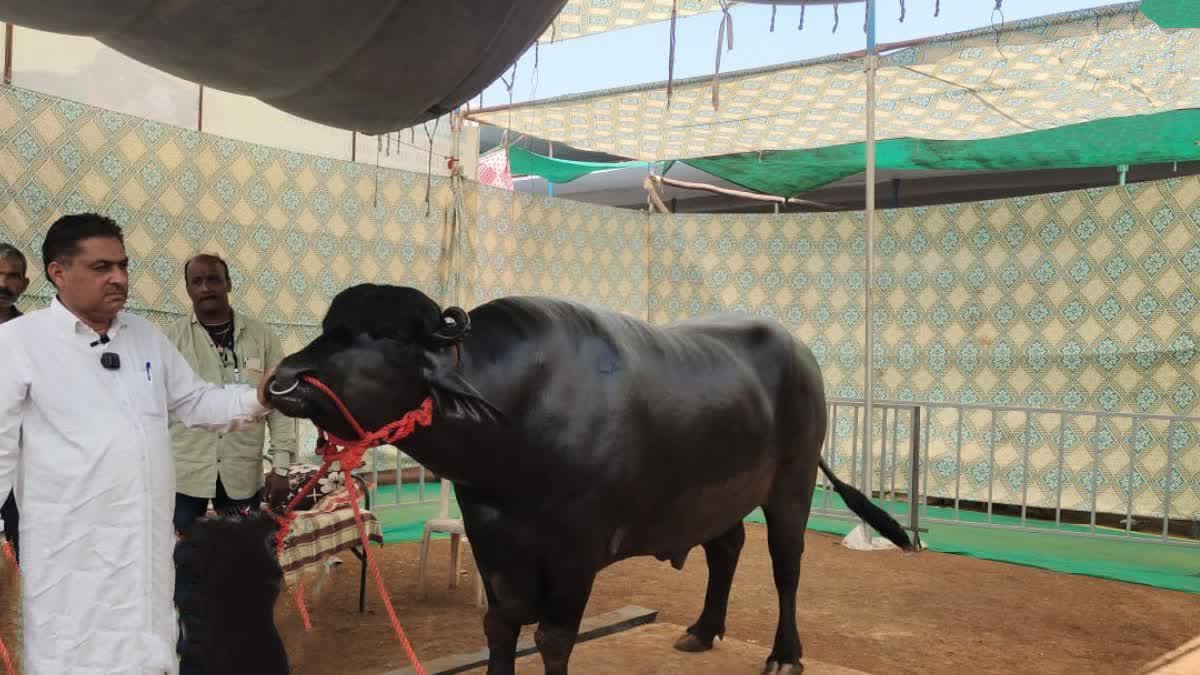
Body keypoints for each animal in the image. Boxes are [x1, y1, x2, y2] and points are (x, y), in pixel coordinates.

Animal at [270, 283, 907, 672]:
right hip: (715, 496)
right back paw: (702, 630)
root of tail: (802, 355)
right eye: (329, 325)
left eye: (388, 337)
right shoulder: (492, 543)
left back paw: (784, 653)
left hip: (792, 485)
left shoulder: (575, 552)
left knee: (786, 567)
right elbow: (498, 626)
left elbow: (552, 638)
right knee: (726, 548)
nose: (283, 380)